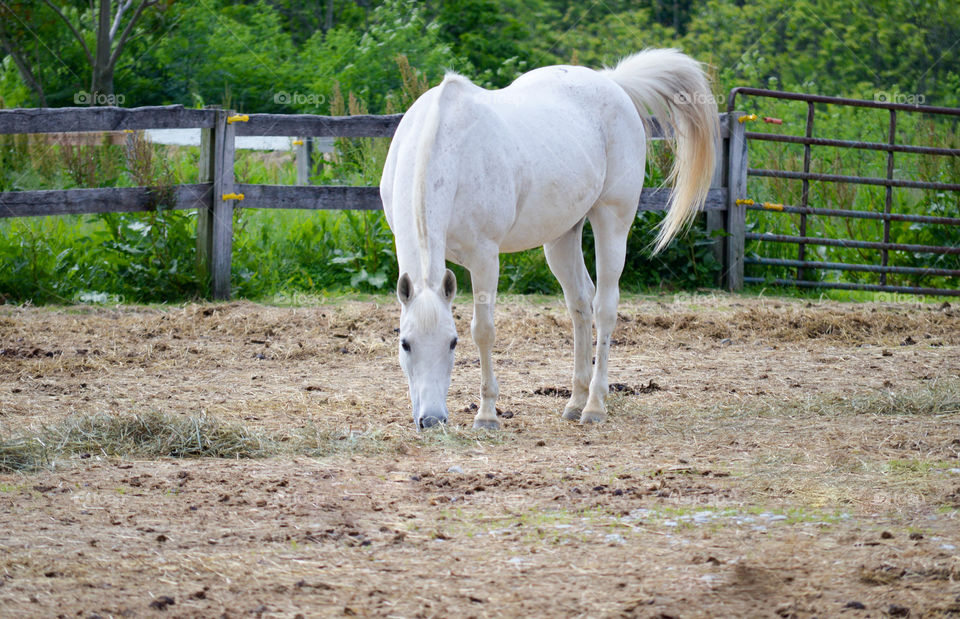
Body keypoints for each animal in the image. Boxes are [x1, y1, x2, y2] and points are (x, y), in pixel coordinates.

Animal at [378, 49, 716, 432]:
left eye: (452, 343)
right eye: (405, 343)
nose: (432, 419)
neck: (448, 146)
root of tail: (612, 82)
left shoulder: (484, 258)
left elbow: (484, 330)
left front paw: (487, 414)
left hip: (612, 222)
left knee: (604, 307)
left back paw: (594, 406)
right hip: (561, 236)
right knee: (580, 303)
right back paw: (575, 400)